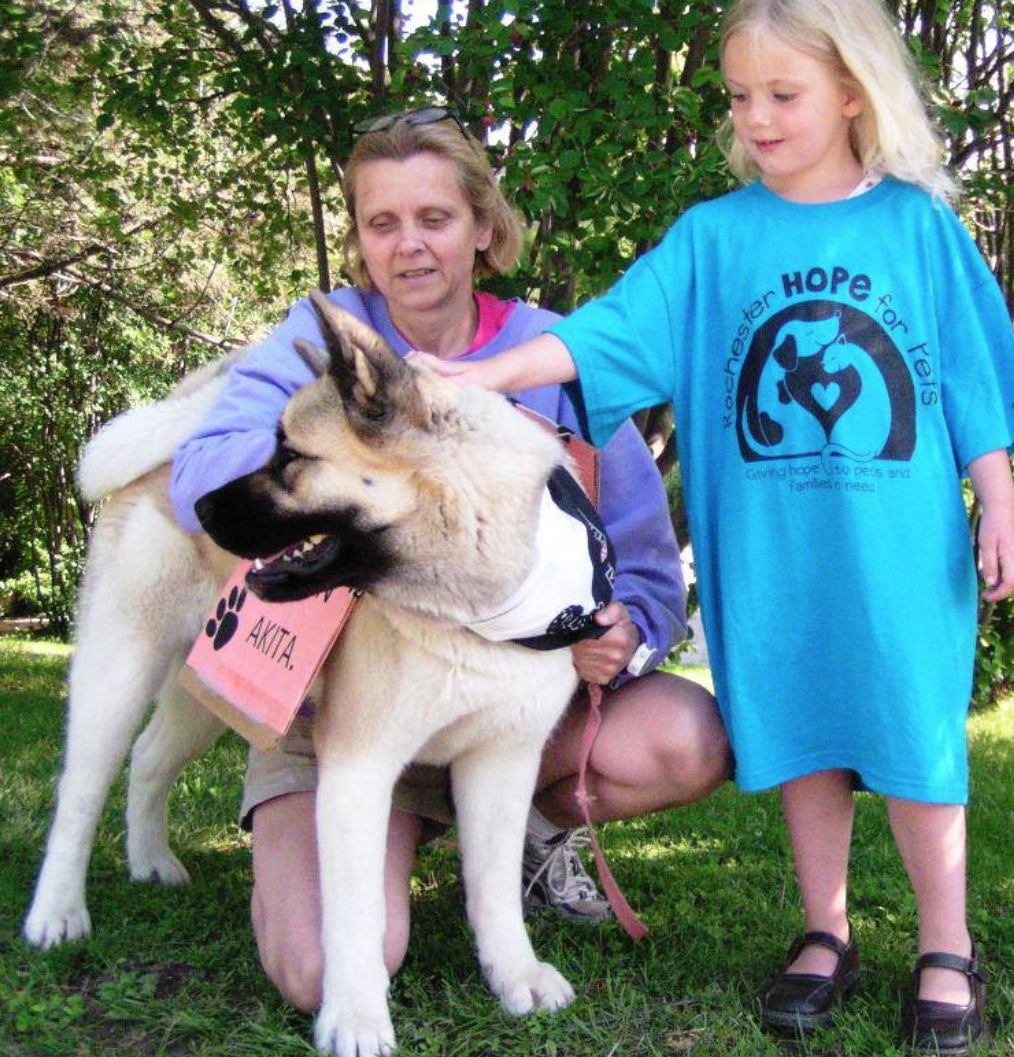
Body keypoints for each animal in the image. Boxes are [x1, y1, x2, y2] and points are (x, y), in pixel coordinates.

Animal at [24, 293, 599, 1056]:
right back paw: (57, 911)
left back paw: (150, 860)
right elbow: (356, 915)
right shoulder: (358, 772)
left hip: (208, 694)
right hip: (117, 673)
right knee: (80, 794)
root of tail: (170, 446)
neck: (474, 604)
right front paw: (355, 1015)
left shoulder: (502, 764)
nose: (200, 504)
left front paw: (515, 975)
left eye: (292, 456)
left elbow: (496, 889)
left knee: (148, 760)